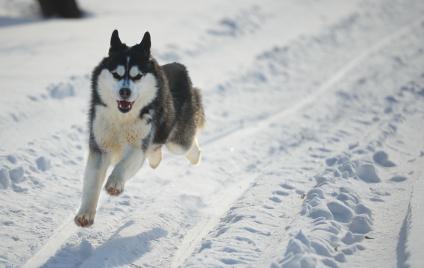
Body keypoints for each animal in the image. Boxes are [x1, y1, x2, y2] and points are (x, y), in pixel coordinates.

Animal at [74, 29, 204, 226]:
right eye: (117, 75)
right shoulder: (100, 146)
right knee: (156, 150)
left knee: (187, 145)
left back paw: (195, 156)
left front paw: (114, 183)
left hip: (177, 142)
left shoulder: (138, 144)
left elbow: (123, 165)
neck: (122, 119)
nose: (124, 92)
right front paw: (85, 214)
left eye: (137, 76)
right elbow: (92, 181)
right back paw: (155, 159)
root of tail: (178, 66)